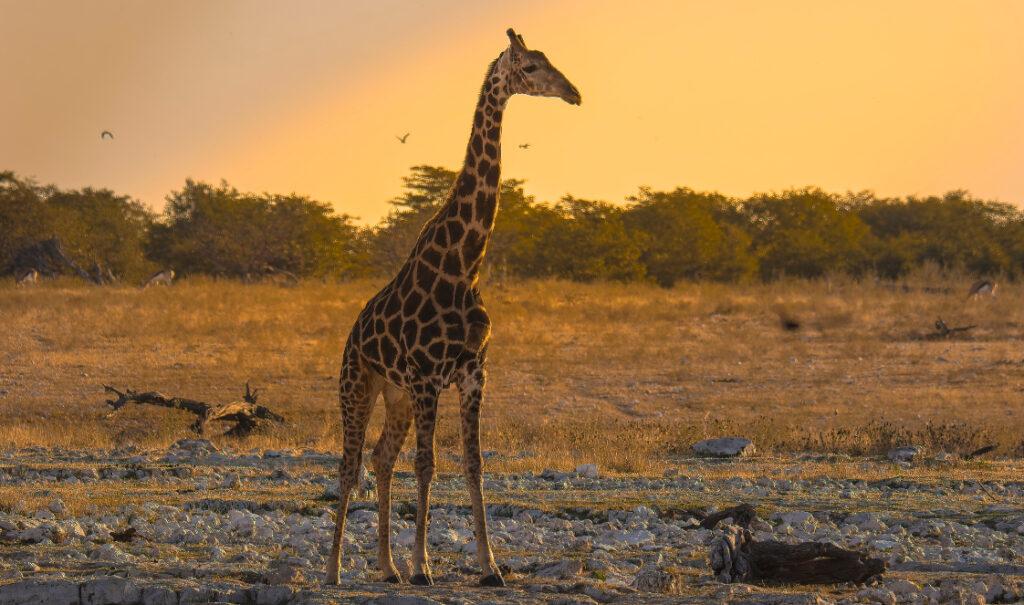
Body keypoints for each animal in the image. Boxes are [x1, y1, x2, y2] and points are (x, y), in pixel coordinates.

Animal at [326, 28, 580, 587]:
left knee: (380, 457)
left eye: (549, 59)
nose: (574, 93)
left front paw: (490, 566)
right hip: (359, 383)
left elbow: (474, 463)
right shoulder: (427, 376)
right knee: (349, 464)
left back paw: (387, 567)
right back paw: (334, 570)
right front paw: (424, 566)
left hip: (396, 394)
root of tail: (351, 335)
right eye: (531, 66)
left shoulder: (473, 373)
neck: (465, 267)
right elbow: (427, 465)